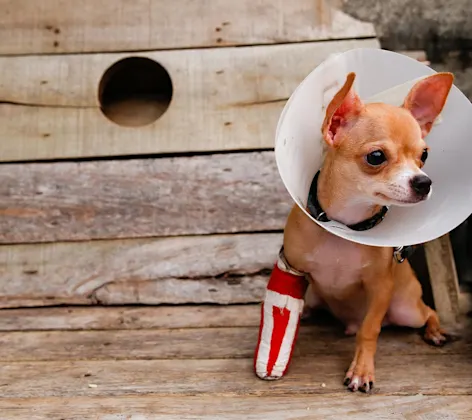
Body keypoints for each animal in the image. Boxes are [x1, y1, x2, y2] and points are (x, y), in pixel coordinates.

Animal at [256, 70, 456, 392]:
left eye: (424, 155)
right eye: (376, 156)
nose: (423, 182)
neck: (345, 225)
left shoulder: (380, 288)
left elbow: (369, 330)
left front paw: (362, 371)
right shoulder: (292, 270)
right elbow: (284, 310)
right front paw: (273, 357)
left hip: (406, 309)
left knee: (428, 311)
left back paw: (435, 331)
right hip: (316, 296)